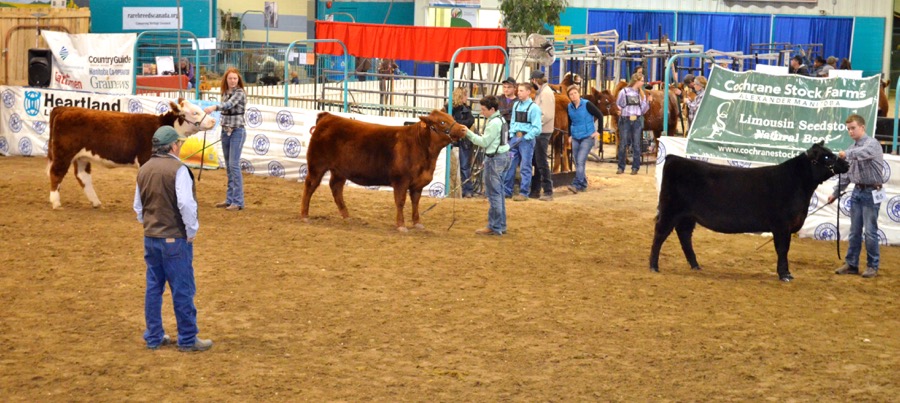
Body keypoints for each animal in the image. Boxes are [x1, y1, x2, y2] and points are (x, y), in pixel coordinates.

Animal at [47, 99, 216, 209]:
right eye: (195, 112)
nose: (213, 121)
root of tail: (63, 109)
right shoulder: (145, 158)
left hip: (82, 156)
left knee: (83, 177)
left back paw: (95, 202)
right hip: (64, 152)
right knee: (56, 172)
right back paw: (55, 202)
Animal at [301, 109, 468, 232]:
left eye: (451, 117)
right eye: (442, 122)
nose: (463, 129)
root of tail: (327, 117)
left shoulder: (417, 184)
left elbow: (415, 202)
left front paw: (417, 223)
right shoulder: (401, 181)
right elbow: (400, 202)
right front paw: (401, 225)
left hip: (339, 171)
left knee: (336, 188)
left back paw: (346, 216)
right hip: (317, 165)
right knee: (310, 186)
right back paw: (304, 215)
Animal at [649, 142, 849, 281]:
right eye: (826, 157)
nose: (846, 163)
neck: (797, 183)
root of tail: (673, 158)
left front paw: (786, 273)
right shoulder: (781, 225)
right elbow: (782, 249)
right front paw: (784, 274)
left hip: (688, 216)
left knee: (684, 236)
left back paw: (695, 265)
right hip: (670, 210)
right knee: (659, 234)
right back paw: (653, 266)